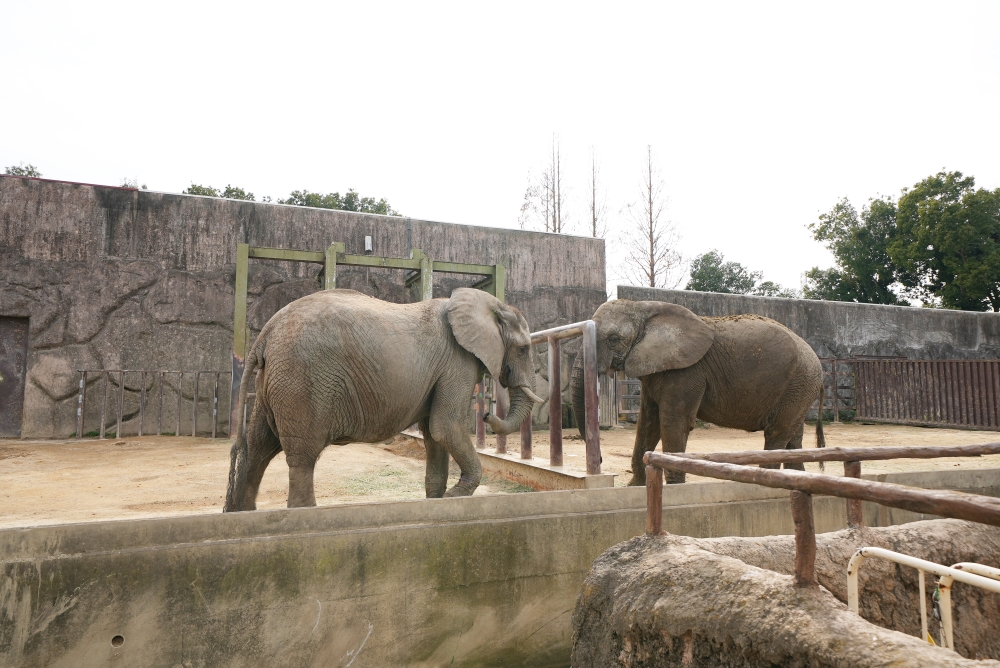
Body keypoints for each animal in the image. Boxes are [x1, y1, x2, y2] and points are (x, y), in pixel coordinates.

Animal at [224, 288, 544, 512]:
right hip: (301, 380)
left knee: (258, 446)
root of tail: (265, 333)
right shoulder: (457, 362)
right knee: (302, 455)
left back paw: (243, 513)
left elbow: (435, 435)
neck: (490, 304)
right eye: (524, 350)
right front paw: (455, 496)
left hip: (275, 381)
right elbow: (445, 426)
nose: (488, 415)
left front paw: (437, 502)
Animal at [576, 302, 824, 486]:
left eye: (613, 339)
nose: (600, 459)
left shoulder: (687, 372)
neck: (645, 309)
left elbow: (673, 422)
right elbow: (648, 422)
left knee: (777, 434)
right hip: (799, 388)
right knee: (794, 436)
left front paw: (674, 489)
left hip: (799, 383)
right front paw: (635, 486)